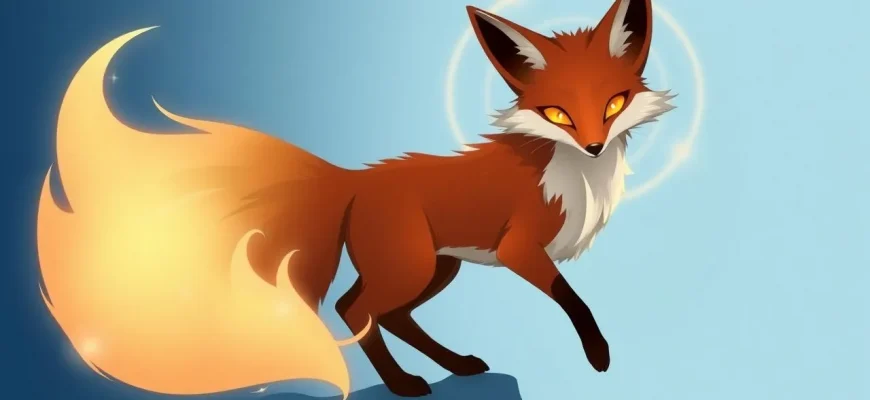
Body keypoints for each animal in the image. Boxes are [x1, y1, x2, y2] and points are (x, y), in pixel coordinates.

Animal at [37, 0, 676, 398]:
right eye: (558, 114)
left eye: (614, 104)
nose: (594, 145)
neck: (574, 173)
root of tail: (351, 177)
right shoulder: (520, 249)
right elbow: (574, 300)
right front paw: (599, 354)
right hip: (412, 264)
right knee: (355, 309)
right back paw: (404, 385)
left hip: (435, 266)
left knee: (378, 311)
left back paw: (452, 367)